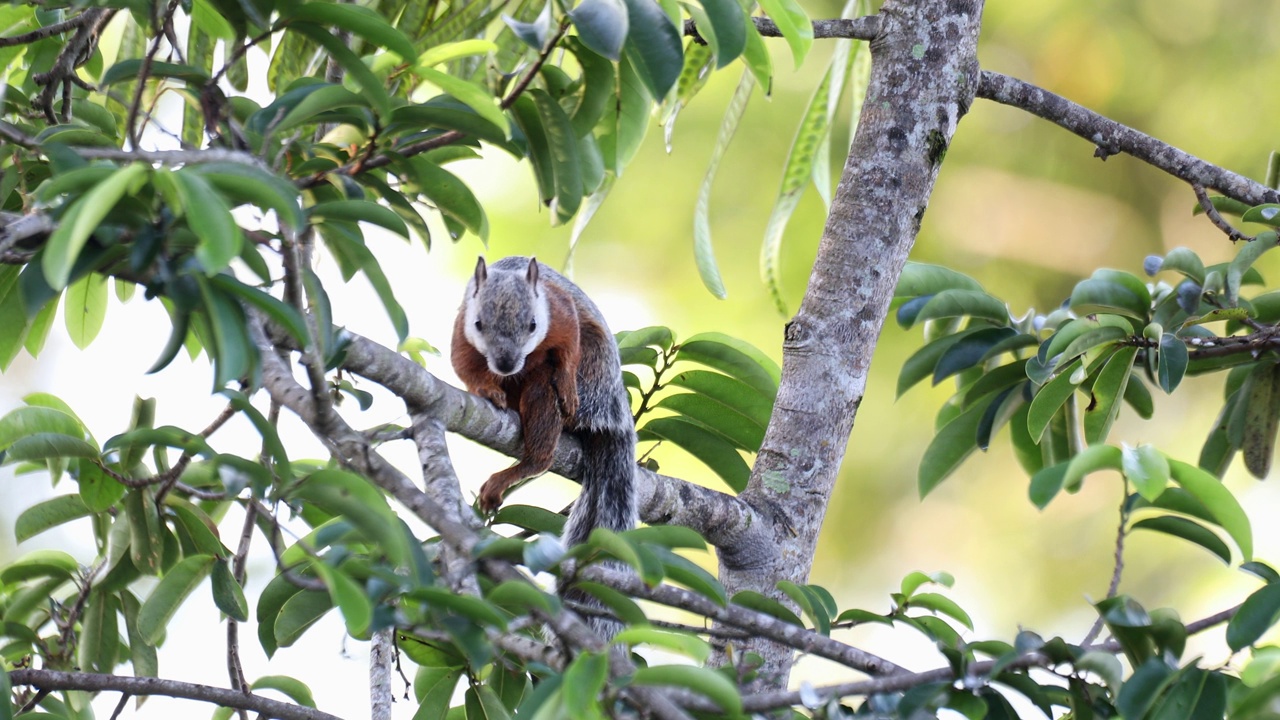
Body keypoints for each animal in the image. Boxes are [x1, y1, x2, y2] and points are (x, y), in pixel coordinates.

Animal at [450, 254, 640, 550]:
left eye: (532, 325)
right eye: (479, 324)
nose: (506, 364)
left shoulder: (559, 310)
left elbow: (569, 339)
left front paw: (565, 380)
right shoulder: (462, 329)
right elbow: (463, 364)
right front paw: (487, 389)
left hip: (592, 379)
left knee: (545, 386)